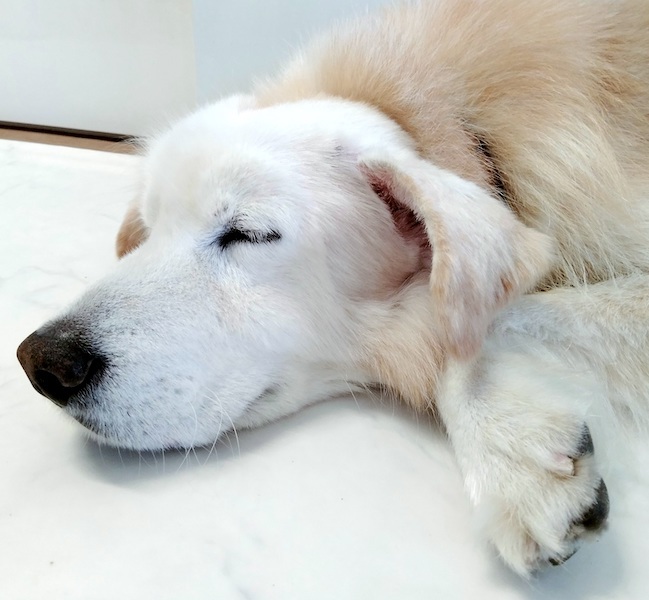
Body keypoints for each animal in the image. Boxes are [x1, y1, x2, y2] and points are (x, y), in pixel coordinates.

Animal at [16, 0, 649, 575]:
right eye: (150, 230)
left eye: (248, 233)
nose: (43, 362)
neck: (463, 129)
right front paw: (514, 447)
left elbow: (469, 319)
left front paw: (507, 451)